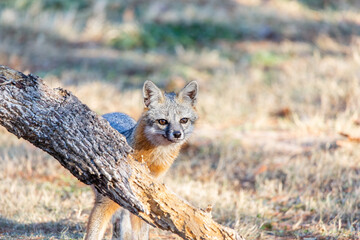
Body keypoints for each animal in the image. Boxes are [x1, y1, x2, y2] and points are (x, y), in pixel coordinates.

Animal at [85, 80, 198, 240]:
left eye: (184, 120)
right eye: (162, 121)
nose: (177, 134)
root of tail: (113, 113)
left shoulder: (145, 209)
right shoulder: (103, 203)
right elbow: (93, 234)